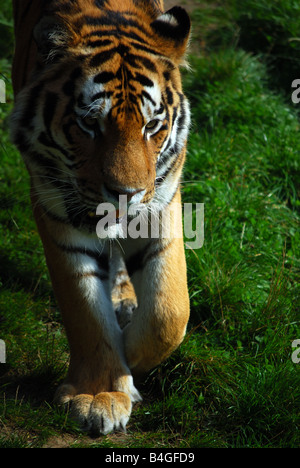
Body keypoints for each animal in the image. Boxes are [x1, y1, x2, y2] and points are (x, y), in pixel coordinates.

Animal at [10, 0, 191, 436]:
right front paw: (99, 394)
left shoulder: (161, 198)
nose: (126, 195)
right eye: (90, 124)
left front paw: (132, 355)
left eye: (152, 126)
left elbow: (169, 310)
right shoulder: (58, 209)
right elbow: (85, 310)